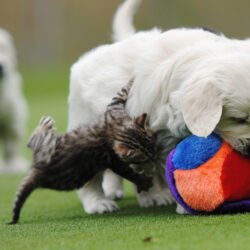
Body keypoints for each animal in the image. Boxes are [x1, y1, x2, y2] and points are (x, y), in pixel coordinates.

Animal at [9, 80, 156, 225]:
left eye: (153, 144)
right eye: (144, 158)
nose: (153, 156)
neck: (117, 131)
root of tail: (37, 173)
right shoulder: (113, 114)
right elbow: (128, 172)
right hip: (47, 149)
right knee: (32, 140)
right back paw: (44, 125)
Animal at [68, 0, 250, 214]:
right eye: (238, 120)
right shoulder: (147, 135)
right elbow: (151, 168)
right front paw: (168, 200)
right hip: (85, 127)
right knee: (90, 176)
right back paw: (98, 203)